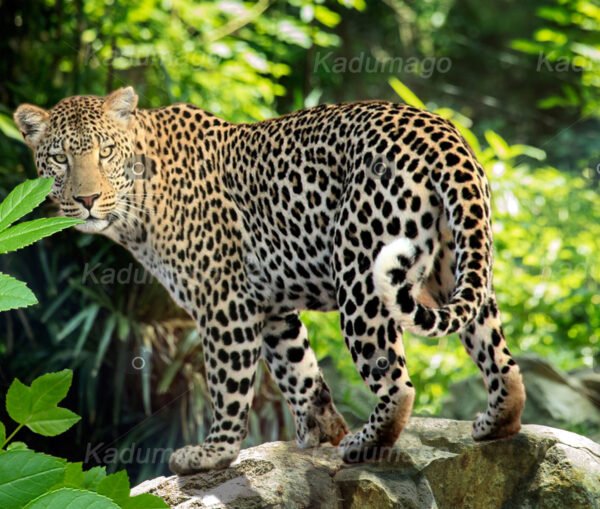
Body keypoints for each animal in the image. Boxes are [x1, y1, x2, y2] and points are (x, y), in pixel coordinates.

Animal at [14, 86, 524, 472]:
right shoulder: (272, 307)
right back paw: (494, 423)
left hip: (361, 275)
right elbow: (300, 372)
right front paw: (319, 432)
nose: (87, 199)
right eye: (59, 158)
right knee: (499, 356)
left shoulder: (224, 302)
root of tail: (442, 132)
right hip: (457, 265)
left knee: (397, 383)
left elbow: (229, 384)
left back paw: (363, 444)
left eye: (104, 152)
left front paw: (212, 454)